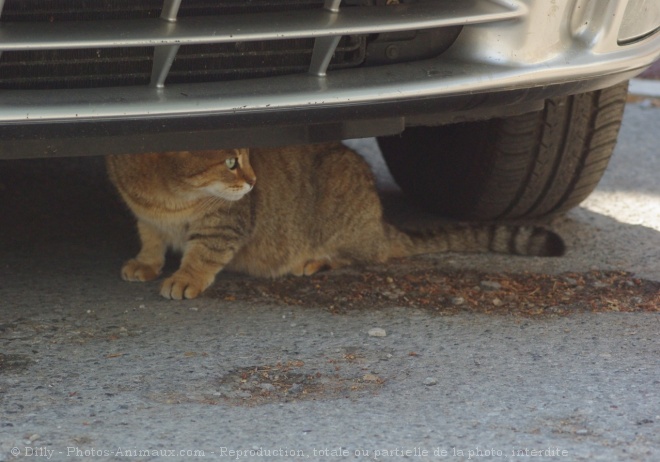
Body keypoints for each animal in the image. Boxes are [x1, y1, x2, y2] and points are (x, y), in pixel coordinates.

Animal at [105, 143, 564, 300]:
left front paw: (185, 278)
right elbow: (150, 240)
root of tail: (380, 224)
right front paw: (146, 262)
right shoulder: (146, 217)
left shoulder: (224, 226)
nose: (253, 181)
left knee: (365, 257)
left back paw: (316, 260)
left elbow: (202, 256)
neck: (167, 201)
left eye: (247, 156)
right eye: (231, 162)